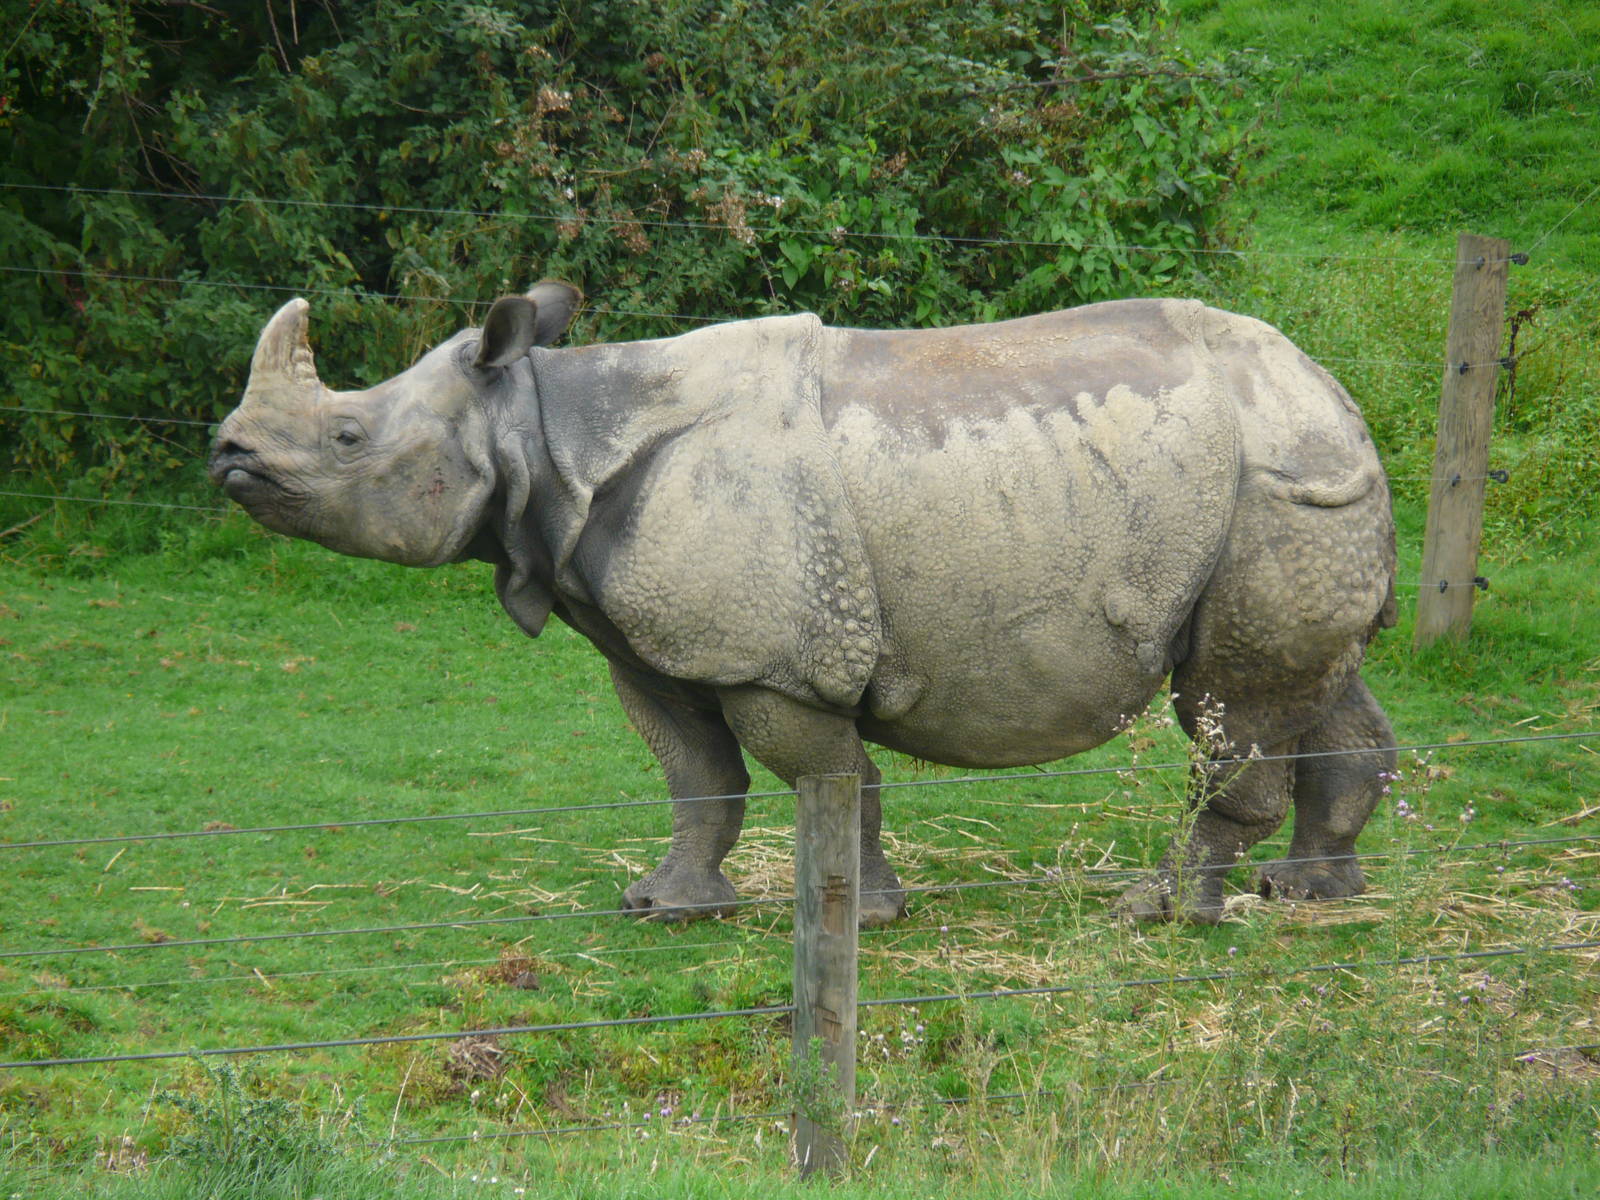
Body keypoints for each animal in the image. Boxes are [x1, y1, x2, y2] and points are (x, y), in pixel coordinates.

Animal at [209, 282, 1398, 926]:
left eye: (346, 437)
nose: (227, 456)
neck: (542, 432)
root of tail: (1337, 393)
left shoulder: (768, 655)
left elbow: (826, 778)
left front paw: (855, 914)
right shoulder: (658, 646)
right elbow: (697, 776)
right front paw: (667, 905)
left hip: (1272, 482)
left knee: (1229, 705)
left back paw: (1161, 910)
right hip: (1291, 489)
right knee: (1314, 686)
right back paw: (1310, 892)